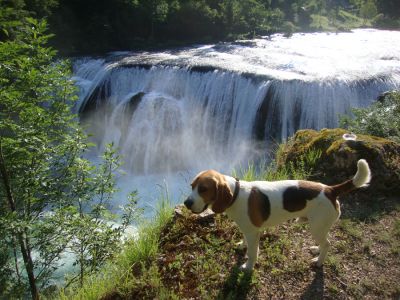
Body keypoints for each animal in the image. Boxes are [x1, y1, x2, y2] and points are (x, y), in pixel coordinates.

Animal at [184, 161, 372, 270]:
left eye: (203, 189)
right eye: (192, 186)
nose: (186, 203)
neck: (236, 194)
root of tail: (330, 190)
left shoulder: (254, 233)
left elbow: (253, 253)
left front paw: (248, 266)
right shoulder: (248, 230)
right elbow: (245, 242)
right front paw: (242, 245)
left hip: (316, 227)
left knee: (327, 244)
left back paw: (319, 261)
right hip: (320, 227)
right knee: (324, 242)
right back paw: (316, 250)